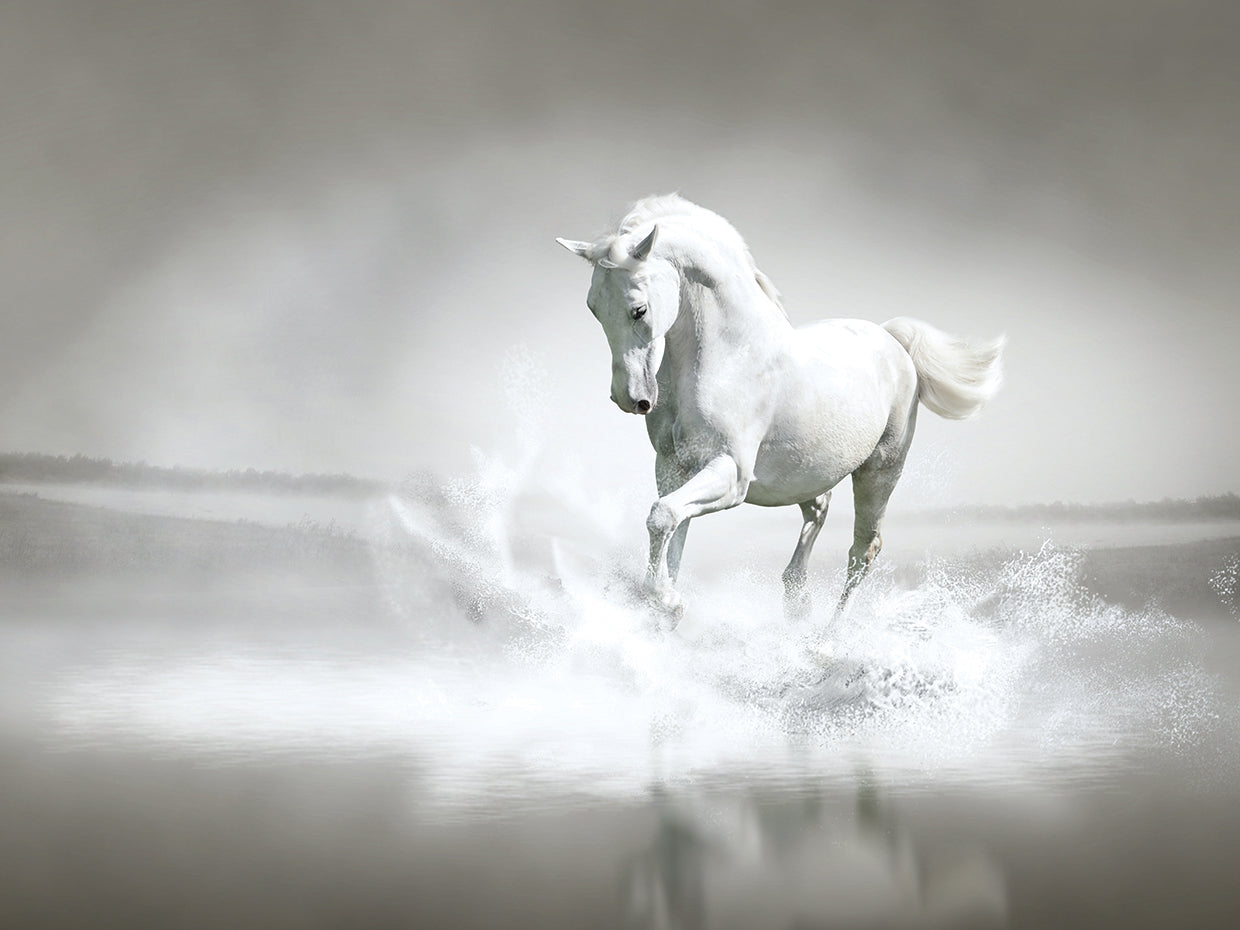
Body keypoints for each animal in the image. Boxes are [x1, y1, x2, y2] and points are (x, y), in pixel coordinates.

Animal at [557, 195, 1003, 622]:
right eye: (593, 307)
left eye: (639, 309)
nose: (630, 398)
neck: (729, 356)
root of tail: (893, 340)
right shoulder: (673, 469)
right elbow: (672, 532)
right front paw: (664, 609)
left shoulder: (731, 473)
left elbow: (663, 517)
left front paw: (667, 603)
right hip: (807, 471)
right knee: (819, 511)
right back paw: (797, 600)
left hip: (880, 470)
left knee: (863, 550)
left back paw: (828, 636)